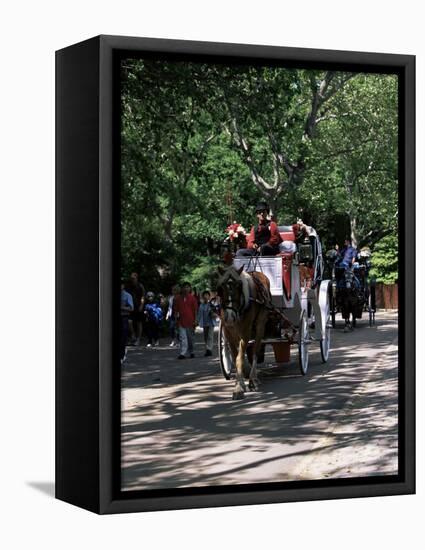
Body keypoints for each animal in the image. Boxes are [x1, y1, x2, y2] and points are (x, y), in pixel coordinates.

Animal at [217, 266, 270, 398]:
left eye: (239, 286)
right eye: (221, 287)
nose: (230, 317)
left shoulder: (245, 332)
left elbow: (239, 358)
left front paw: (239, 388)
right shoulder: (228, 333)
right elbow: (236, 357)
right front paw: (239, 383)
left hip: (260, 325)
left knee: (256, 350)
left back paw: (253, 379)